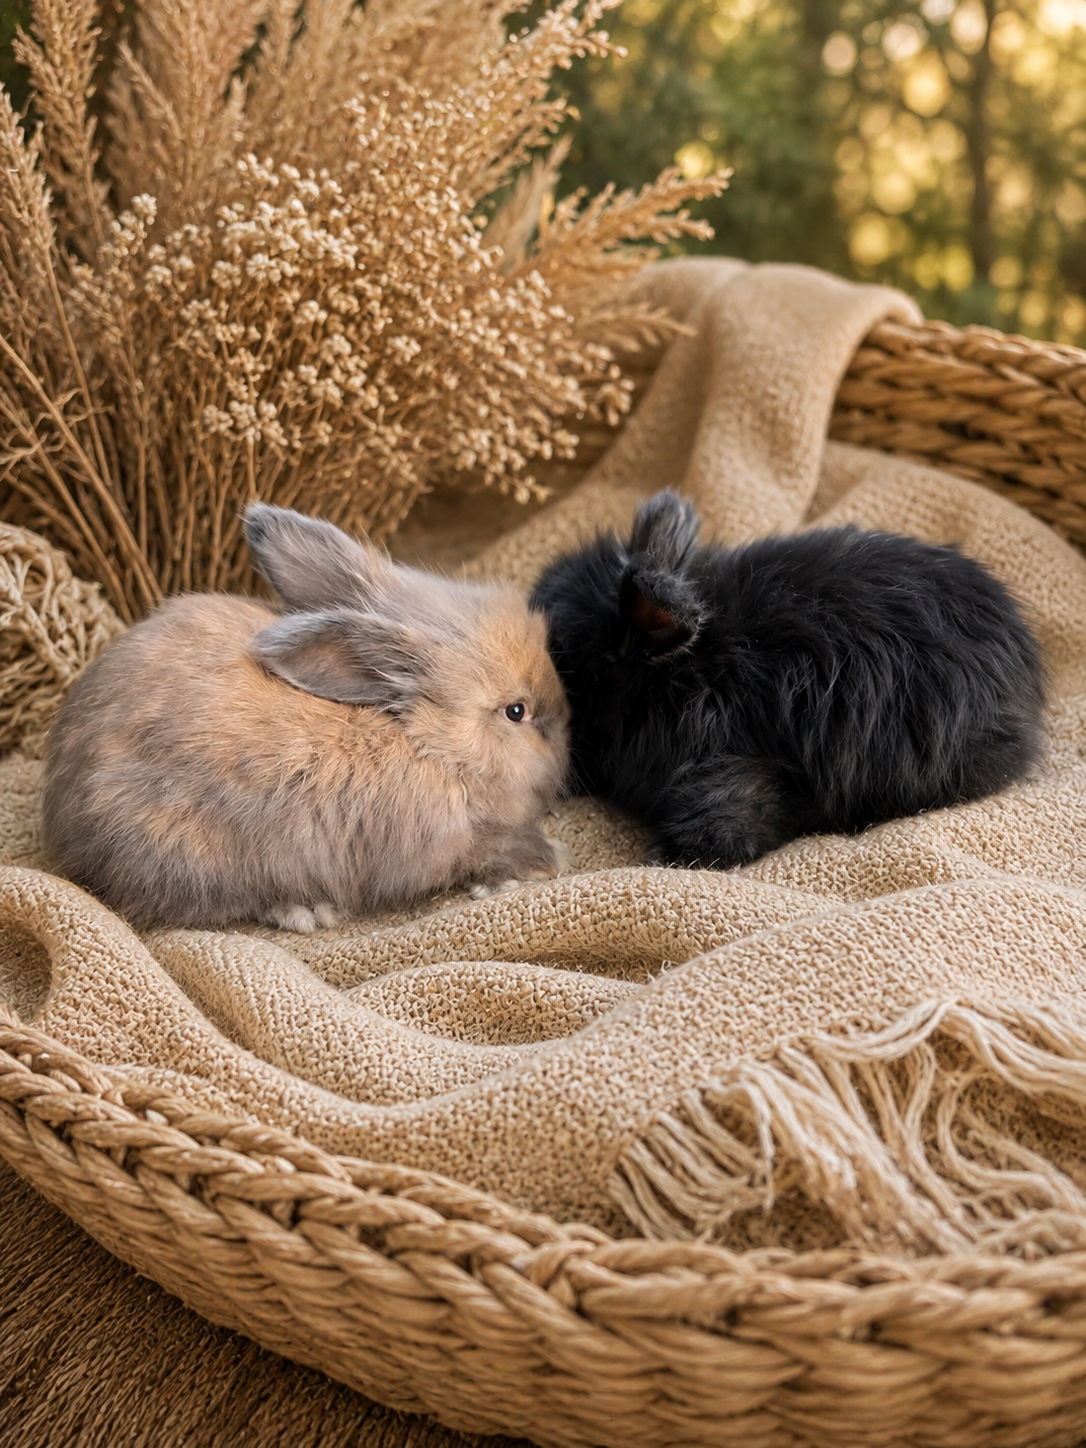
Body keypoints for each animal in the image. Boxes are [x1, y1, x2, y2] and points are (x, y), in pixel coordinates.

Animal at [42, 504, 572, 931]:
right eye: (517, 712)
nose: (565, 729)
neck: (427, 745)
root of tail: (62, 813)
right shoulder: (437, 844)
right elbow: (477, 851)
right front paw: (537, 863)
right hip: (193, 857)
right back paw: (305, 909)